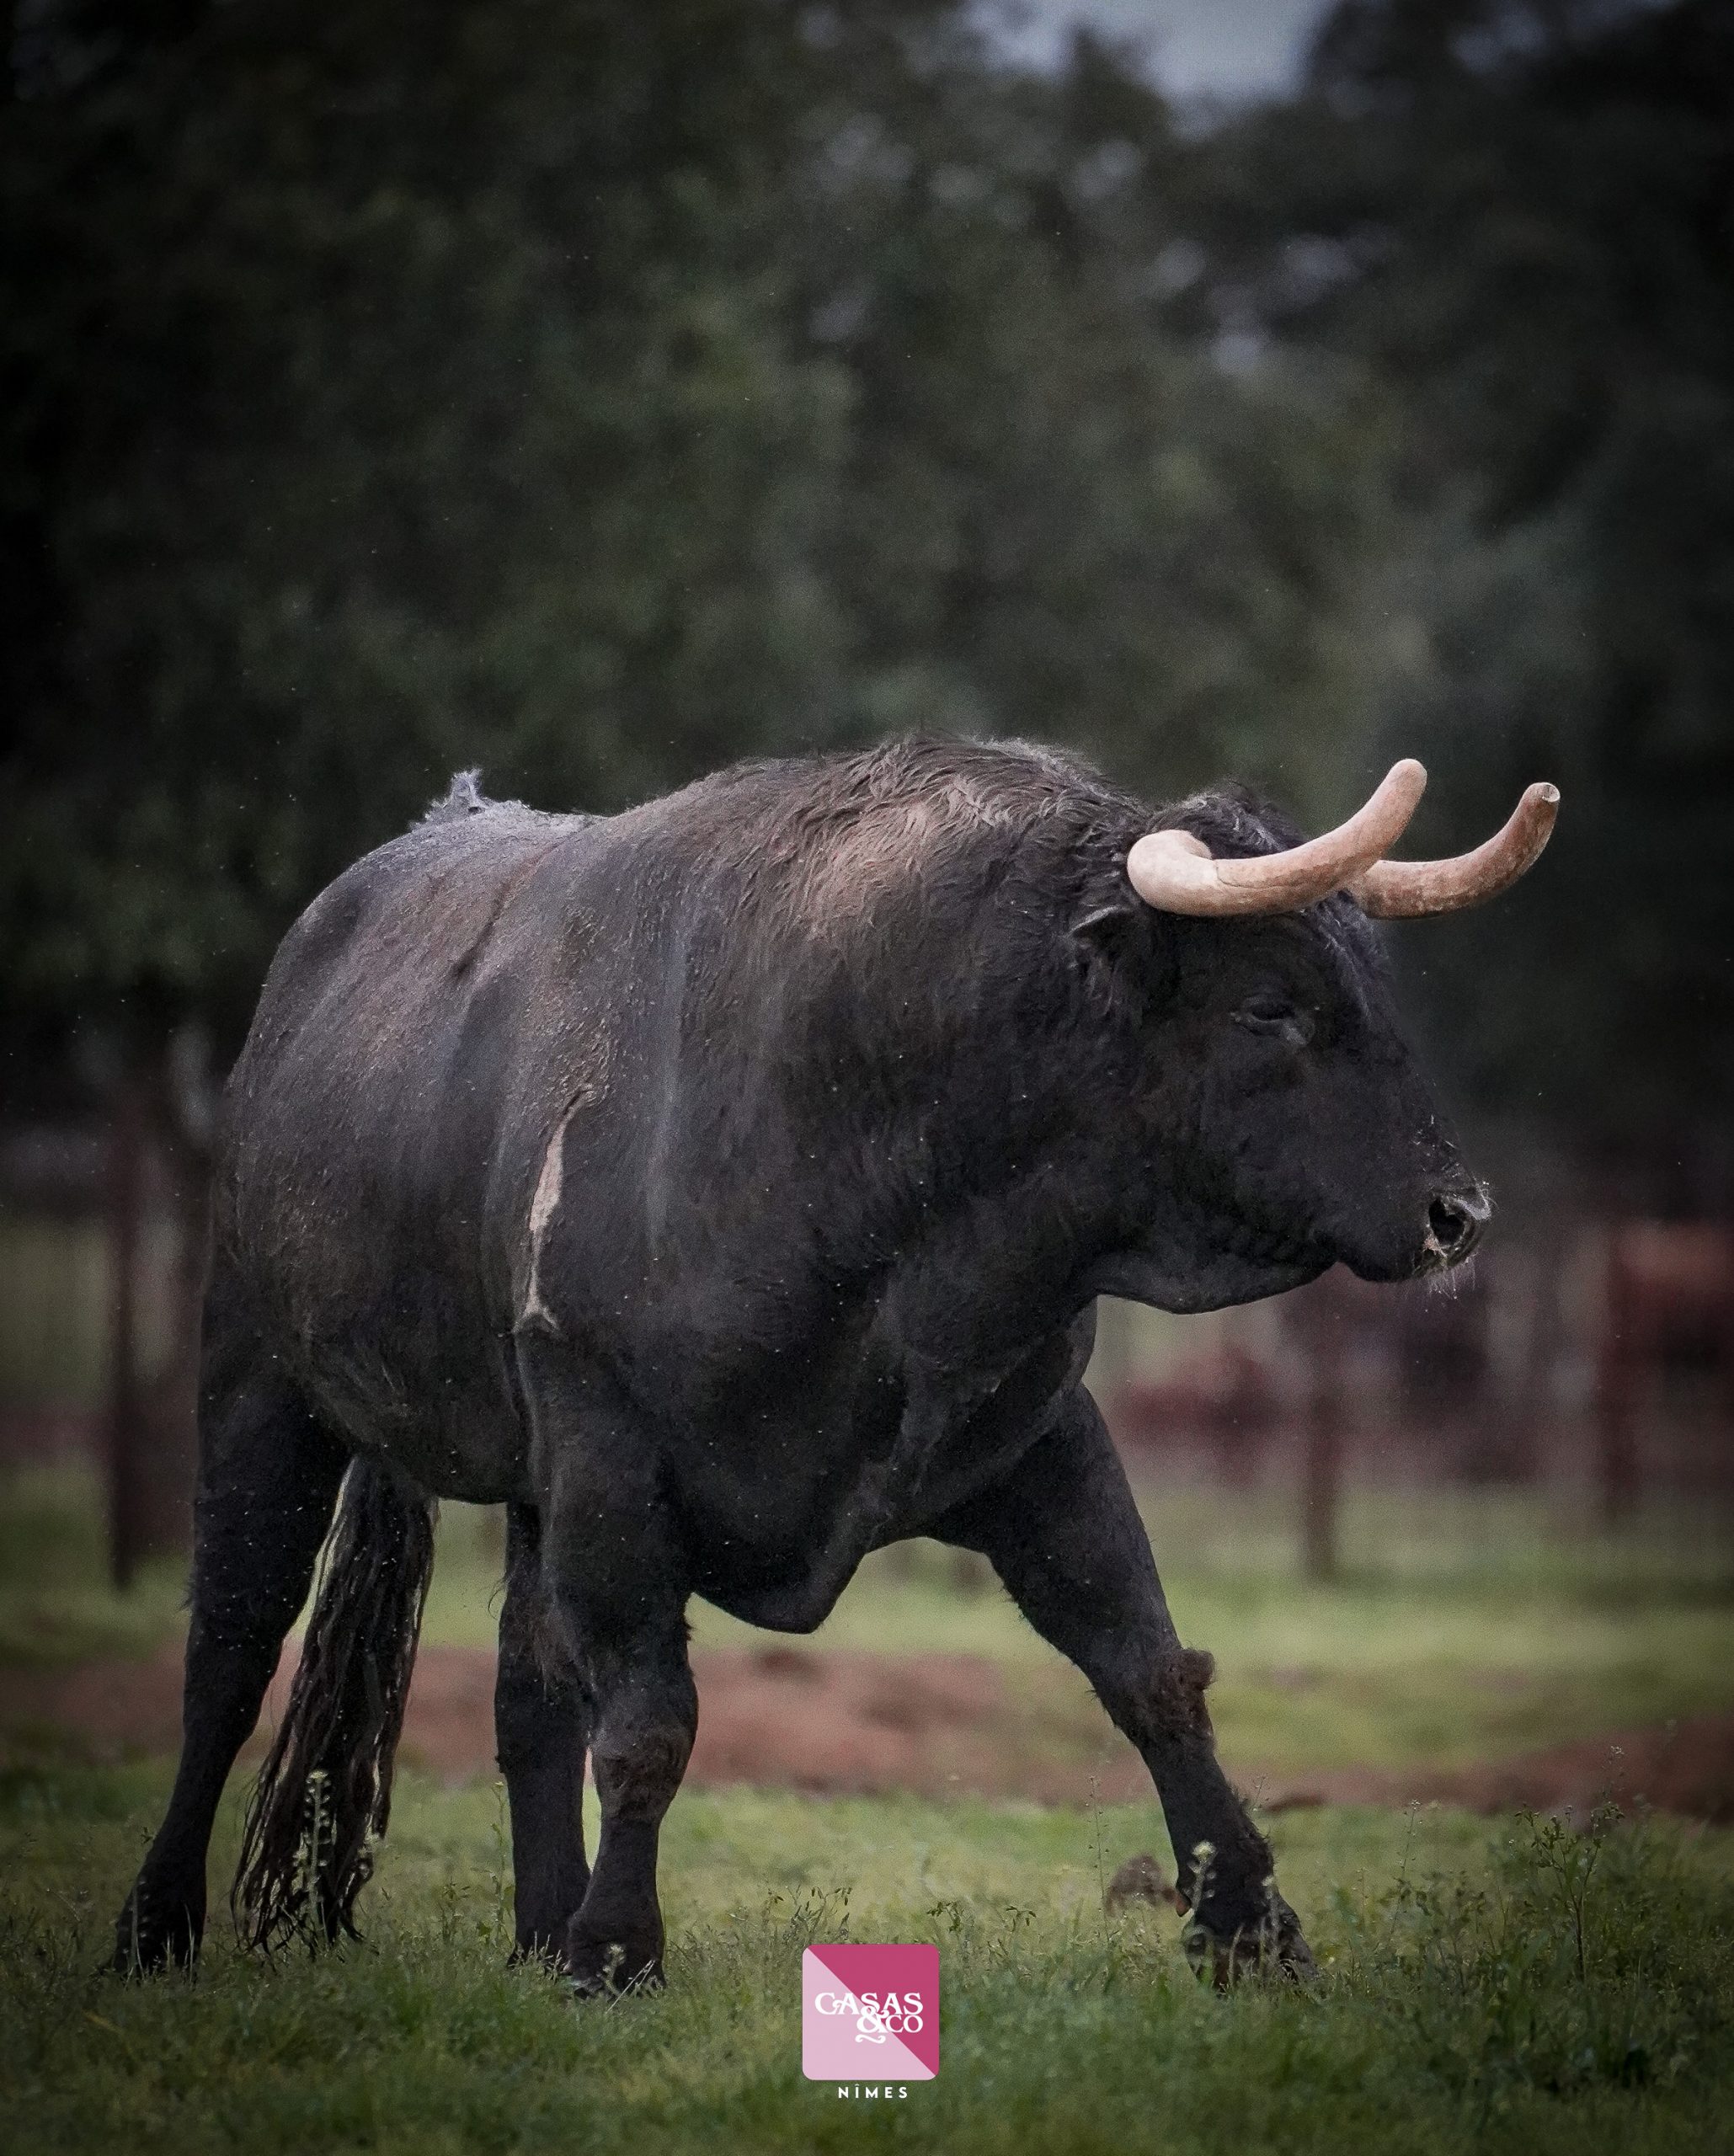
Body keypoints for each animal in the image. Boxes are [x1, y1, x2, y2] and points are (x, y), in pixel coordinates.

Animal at [113, 737, 1557, 1990]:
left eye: (1370, 991)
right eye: (1270, 1008)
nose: (1458, 1214)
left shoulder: (1033, 1432)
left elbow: (1149, 1671)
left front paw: (1252, 1929)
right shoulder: (613, 1465)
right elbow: (649, 1726)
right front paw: (617, 1955)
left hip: (524, 1480)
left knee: (525, 1692)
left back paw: (533, 1930)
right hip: (262, 1379)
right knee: (230, 1655)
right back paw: (154, 1926)